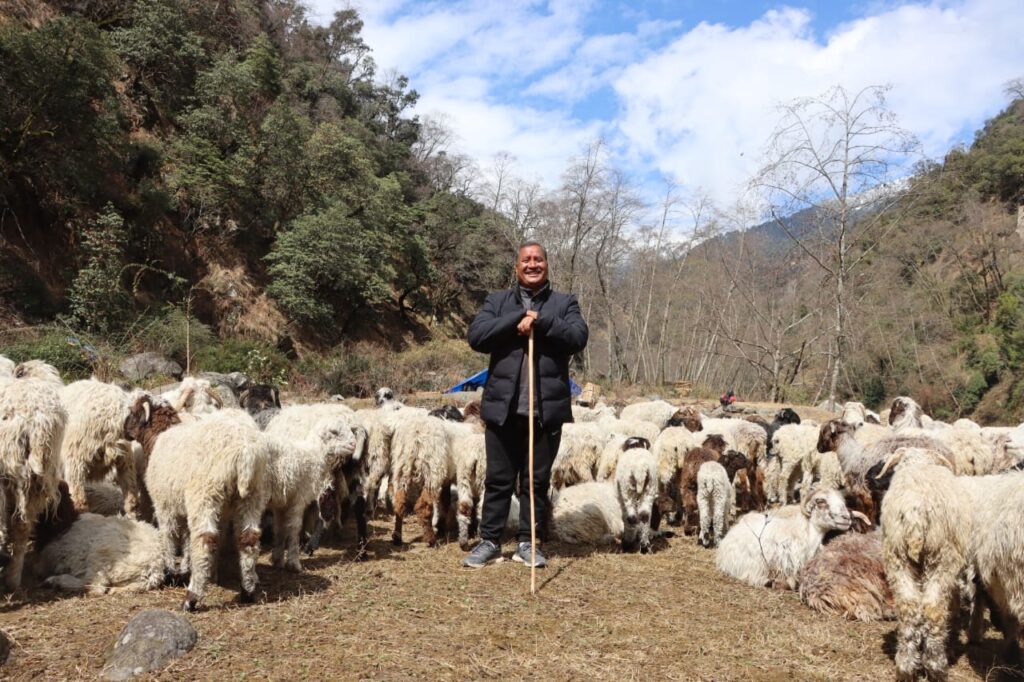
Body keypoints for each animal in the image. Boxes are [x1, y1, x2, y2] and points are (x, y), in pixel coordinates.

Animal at [145, 411, 272, 606]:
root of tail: (245, 453)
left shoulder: (164, 506)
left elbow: (169, 537)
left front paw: (170, 572)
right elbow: (188, 539)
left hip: (205, 494)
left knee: (204, 540)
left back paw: (191, 598)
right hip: (252, 496)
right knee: (248, 539)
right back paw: (248, 592)